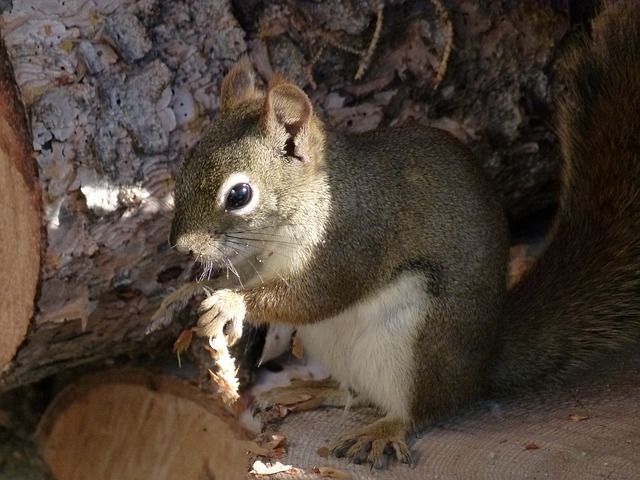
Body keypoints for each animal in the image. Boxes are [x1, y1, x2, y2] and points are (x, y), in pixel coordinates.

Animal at [165, 1, 640, 468]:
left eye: (239, 194)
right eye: (184, 167)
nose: (182, 247)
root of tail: (480, 368)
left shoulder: (353, 241)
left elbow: (317, 296)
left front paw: (230, 302)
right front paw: (189, 293)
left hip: (419, 342)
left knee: (421, 409)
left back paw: (383, 431)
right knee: (351, 391)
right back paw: (306, 390)